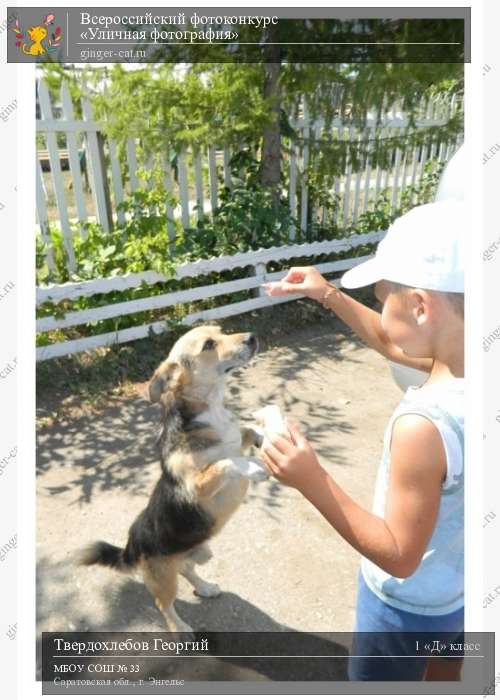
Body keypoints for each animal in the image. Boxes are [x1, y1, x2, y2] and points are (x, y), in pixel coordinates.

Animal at [77, 326, 266, 632]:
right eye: (209, 344)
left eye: (221, 330)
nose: (252, 336)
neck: (212, 408)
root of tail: (131, 546)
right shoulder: (197, 485)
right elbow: (226, 462)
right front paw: (254, 465)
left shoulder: (237, 440)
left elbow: (248, 431)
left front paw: (267, 438)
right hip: (164, 579)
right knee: (163, 604)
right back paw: (181, 629)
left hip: (195, 552)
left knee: (187, 568)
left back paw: (205, 586)